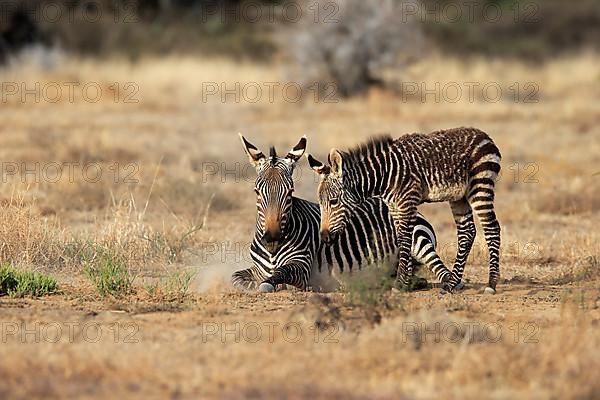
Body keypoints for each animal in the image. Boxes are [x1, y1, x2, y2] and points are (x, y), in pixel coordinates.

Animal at [232, 133, 452, 292]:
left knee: (441, 271)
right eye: (256, 191)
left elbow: (279, 275)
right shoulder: (256, 269)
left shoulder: (301, 265)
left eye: (290, 192)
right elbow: (238, 279)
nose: (272, 238)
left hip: (418, 239)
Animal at [310, 127, 502, 294]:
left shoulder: (407, 202)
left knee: (492, 228)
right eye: (320, 203)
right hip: (458, 196)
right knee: (467, 232)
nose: (324, 237)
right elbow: (403, 240)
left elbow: (404, 239)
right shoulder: (394, 207)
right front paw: (406, 282)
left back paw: (491, 284)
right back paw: (452, 283)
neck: (383, 176)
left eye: (333, 201)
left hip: (480, 185)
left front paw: (400, 283)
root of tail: (483, 135)